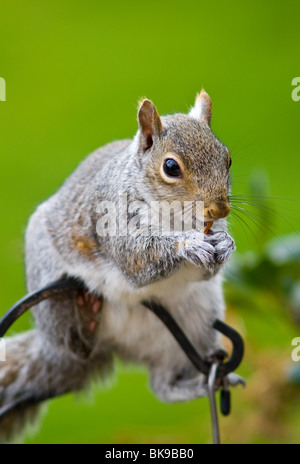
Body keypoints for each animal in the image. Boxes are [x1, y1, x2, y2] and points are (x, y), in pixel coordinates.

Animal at [0, 89, 241, 440]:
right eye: (171, 167)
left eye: (227, 159)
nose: (219, 209)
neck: (173, 216)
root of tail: (117, 346)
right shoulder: (112, 217)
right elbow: (136, 259)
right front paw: (188, 244)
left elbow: (205, 269)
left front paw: (225, 243)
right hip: (48, 285)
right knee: (71, 345)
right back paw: (83, 324)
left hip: (193, 321)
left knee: (162, 385)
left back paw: (198, 384)